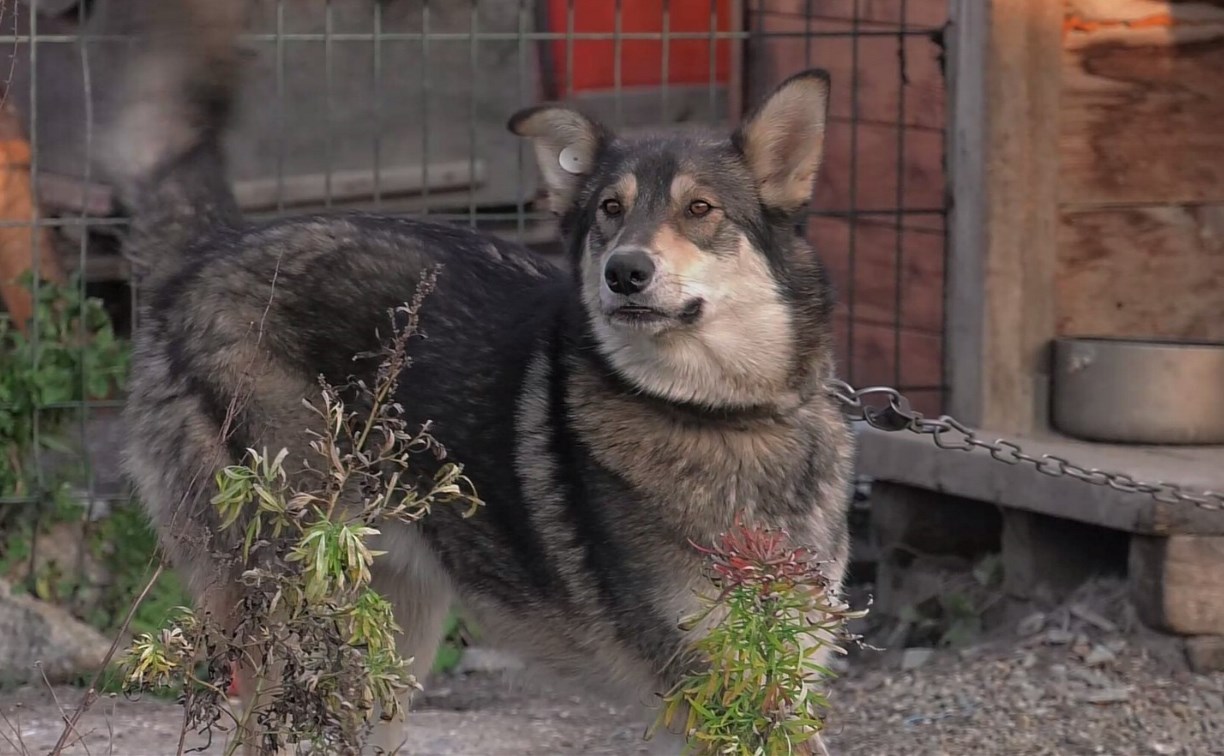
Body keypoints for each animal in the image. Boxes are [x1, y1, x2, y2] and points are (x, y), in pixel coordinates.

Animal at [95, 2, 856, 748]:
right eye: (610, 211)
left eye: (700, 209)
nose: (624, 272)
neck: (724, 417)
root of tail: (211, 251)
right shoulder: (711, 694)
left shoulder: (783, 682)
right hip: (300, 621)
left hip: (385, 651)